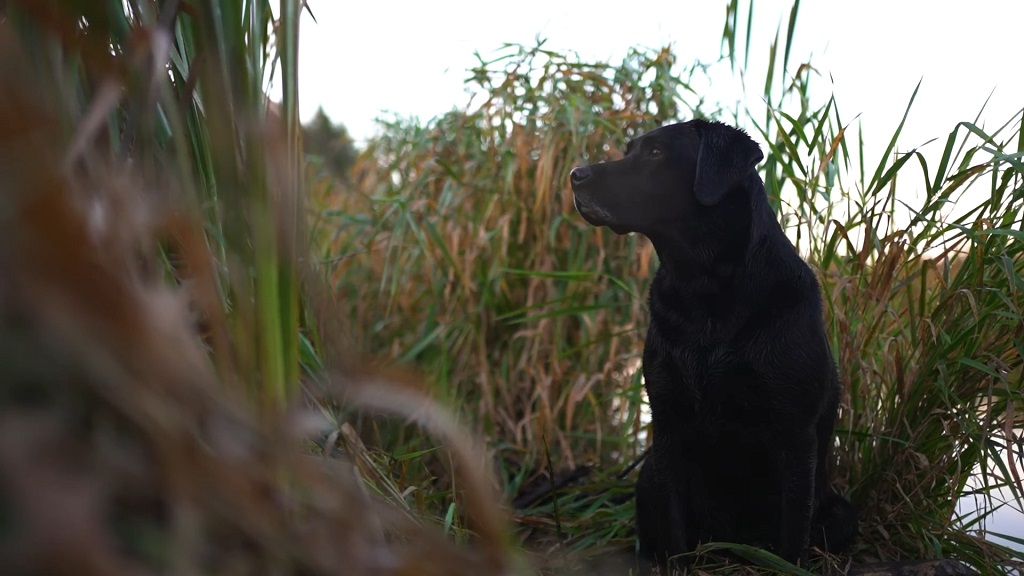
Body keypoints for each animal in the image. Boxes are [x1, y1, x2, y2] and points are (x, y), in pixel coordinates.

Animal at [569, 118, 856, 565]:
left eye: (655, 153)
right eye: (630, 149)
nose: (575, 175)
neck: (704, 290)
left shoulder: (795, 434)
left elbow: (792, 533)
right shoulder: (668, 423)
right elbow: (674, 530)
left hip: (841, 513)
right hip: (646, 478)